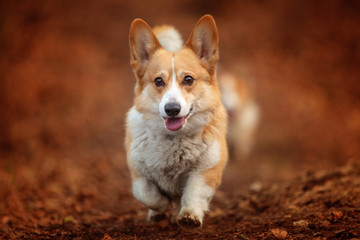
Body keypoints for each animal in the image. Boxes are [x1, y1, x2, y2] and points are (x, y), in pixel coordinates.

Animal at [124, 15, 228, 227]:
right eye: (158, 81)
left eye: (188, 79)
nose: (172, 109)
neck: (174, 139)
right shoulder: (137, 172)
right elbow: (145, 194)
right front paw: (162, 207)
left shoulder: (206, 169)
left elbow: (194, 192)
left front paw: (189, 215)